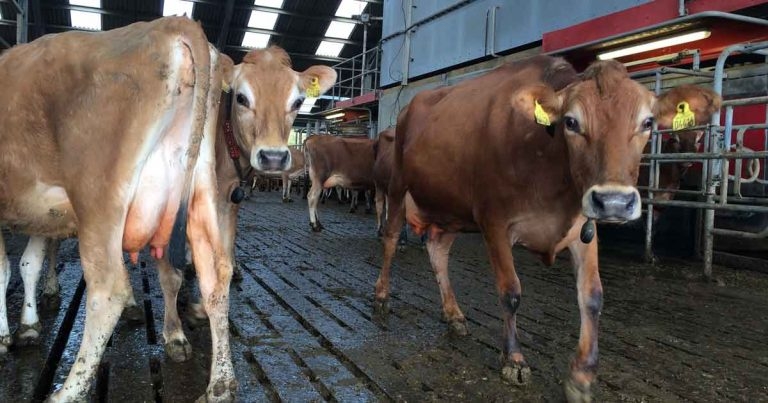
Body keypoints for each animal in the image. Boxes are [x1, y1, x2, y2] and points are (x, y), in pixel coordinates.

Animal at [373, 56, 720, 402]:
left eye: (647, 122)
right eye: (571, 122)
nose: (614, 201)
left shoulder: (584, 229)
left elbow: (592, 297)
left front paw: (581, 376)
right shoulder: (494, 221)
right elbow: (510, 292)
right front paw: (514, 359)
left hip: (451, 206)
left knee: (437, 249)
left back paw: (454, 314)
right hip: (398, 185)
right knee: (390, 239)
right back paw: (382, 296)